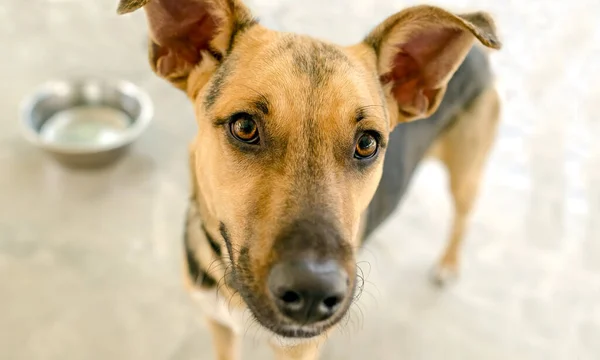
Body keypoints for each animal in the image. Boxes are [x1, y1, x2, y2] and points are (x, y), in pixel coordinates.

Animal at [116, 1, 502, 358]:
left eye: (367, 143)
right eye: (244, 126)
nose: (314, 294)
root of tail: (477, 53)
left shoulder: (299, 349)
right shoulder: (218, 324)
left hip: (466, 176)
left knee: (462, 217)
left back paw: (448, 264)